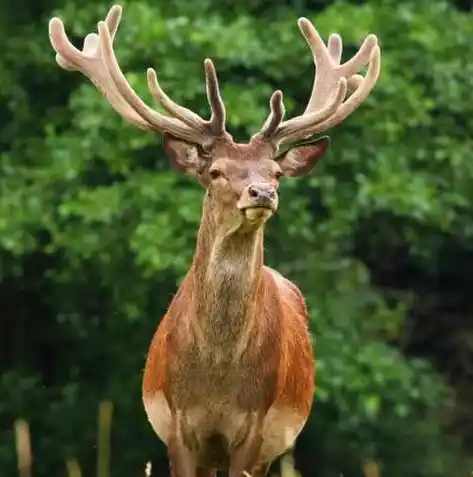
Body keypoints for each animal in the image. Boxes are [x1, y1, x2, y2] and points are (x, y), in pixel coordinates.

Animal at [48, 5, 380, 476]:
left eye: (275, 172)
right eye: (217, 171)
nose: (262, 193)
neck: (218, 380)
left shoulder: (255, 427)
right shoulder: (177, 426)